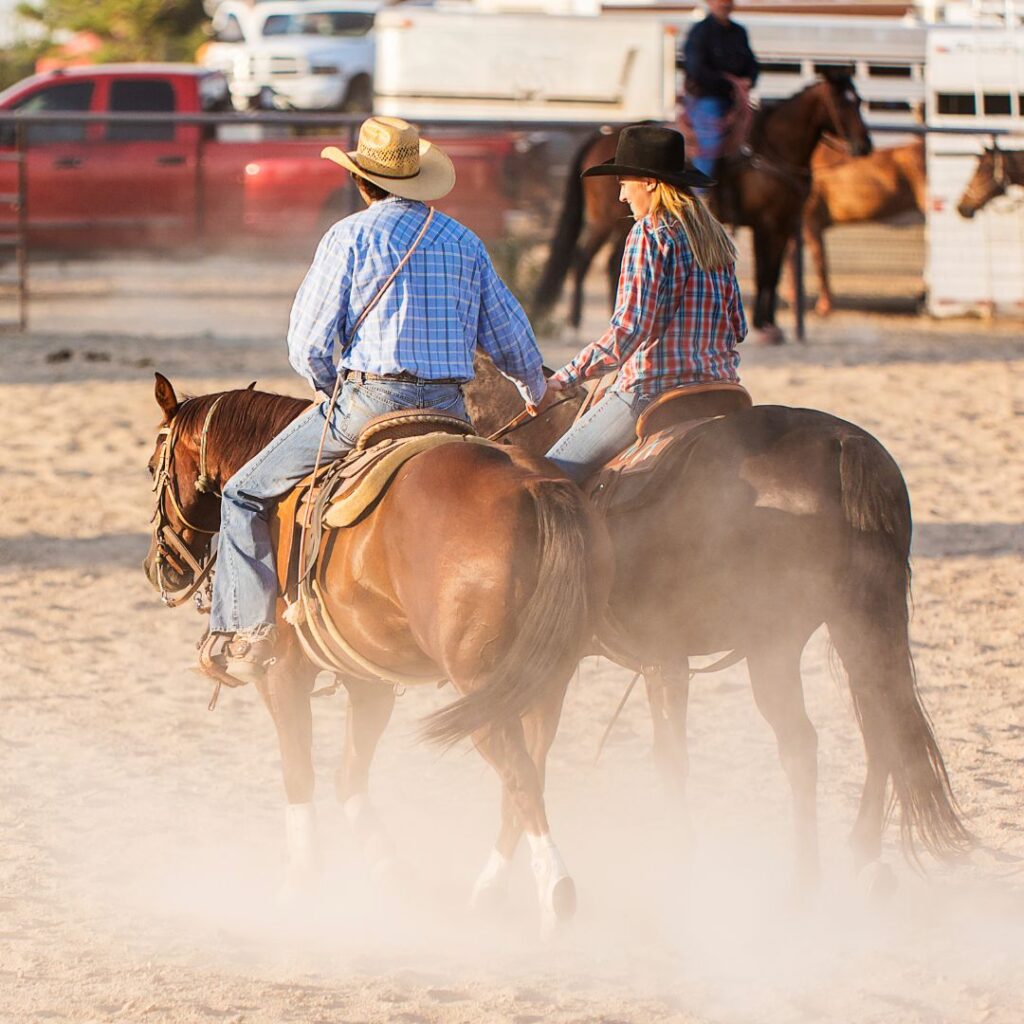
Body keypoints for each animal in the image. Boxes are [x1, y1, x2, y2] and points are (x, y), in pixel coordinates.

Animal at [143, 374, 611, 931]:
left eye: (152, 467)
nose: (160, 567)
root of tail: (534, 488)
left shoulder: (283, 674)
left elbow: (299, 771)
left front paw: (301, 881)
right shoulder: (369, 681)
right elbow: (349, 775)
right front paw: (390, 870)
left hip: (483, 689)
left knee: (518, 773)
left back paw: (555, 893)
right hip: (540, 682)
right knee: (530, 773)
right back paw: (491, 889)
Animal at [464, 352, 971, 892]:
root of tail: (841, 445)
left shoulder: (655, 661)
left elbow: (651, 759)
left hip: (775, 644)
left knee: (801, 745)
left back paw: (804, 880)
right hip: (860, 623)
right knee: (881, 727)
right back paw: (863, 857)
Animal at [531, 74, 872, 343]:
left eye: (859, 101)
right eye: (842, 103)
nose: (865, 145)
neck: (772, 149)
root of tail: (600, 135)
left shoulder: (785, 223)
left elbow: (773, 274)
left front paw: (771, 324)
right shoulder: (767, 223)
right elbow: (765, 273)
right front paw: (765, 326)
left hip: (622, 222)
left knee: (612, 262)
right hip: (604, 220)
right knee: (582, 261)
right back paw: (575, 324)